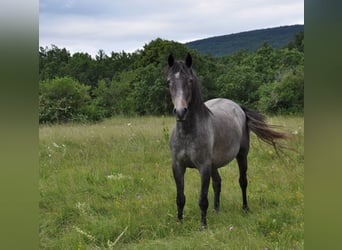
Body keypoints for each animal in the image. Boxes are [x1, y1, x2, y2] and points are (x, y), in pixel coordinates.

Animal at [166, 53, 288, 229]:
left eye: (189, 80)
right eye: (169, 82)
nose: (181, 112)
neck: (187, 133)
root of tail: (238, 106)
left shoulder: (204, 167)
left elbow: (203, 199)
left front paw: (203, 226)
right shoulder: (178, 166)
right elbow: (180, 198)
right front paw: (179, 223)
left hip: (241, 155)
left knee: (243, 181)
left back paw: (245, 208)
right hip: (214, 164)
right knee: (217, 183)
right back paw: (216, 210)